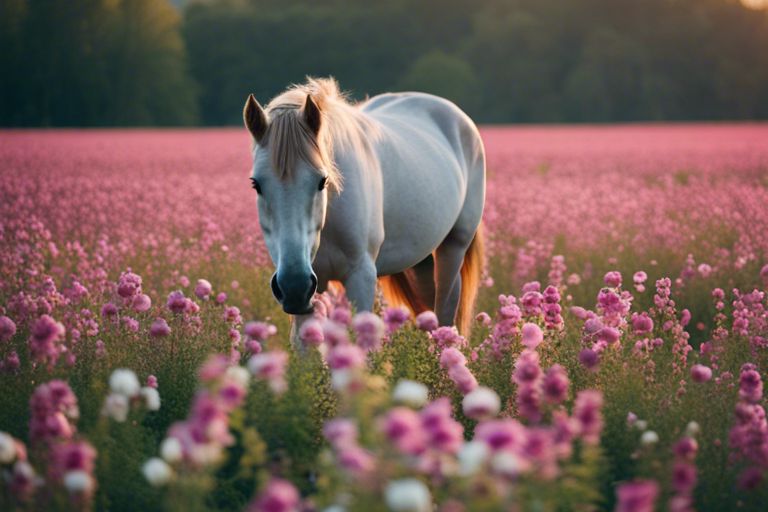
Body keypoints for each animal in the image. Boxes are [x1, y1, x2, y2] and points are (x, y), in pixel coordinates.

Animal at [243, 78, 485, 341]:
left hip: (453, 247)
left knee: (446, 309)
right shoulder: (306, 292)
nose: (294, 285)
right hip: (421, 260)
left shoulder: (361, 277)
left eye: (322, 181)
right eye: (256, 184)